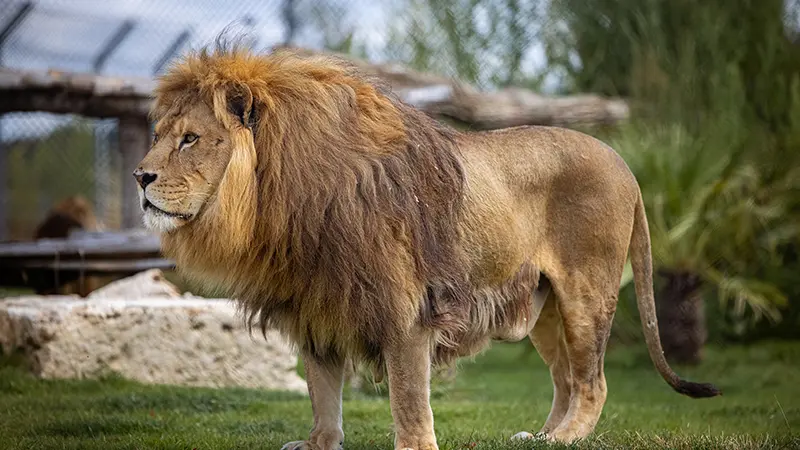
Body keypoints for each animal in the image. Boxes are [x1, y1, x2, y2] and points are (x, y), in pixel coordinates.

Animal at [134, 43, 720, 450]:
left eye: (190, 139)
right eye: (160, 135)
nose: (140, 177)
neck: (279, 200)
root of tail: (625, 164)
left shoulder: (406, 309)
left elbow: (408, 395)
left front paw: (414, 446)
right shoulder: (318, 303)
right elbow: (322, 390)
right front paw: (321, 443)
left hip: (586, 291)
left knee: (593, 380)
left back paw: (568, 438)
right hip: (546, 304)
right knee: (566, 377)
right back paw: (543, 437)